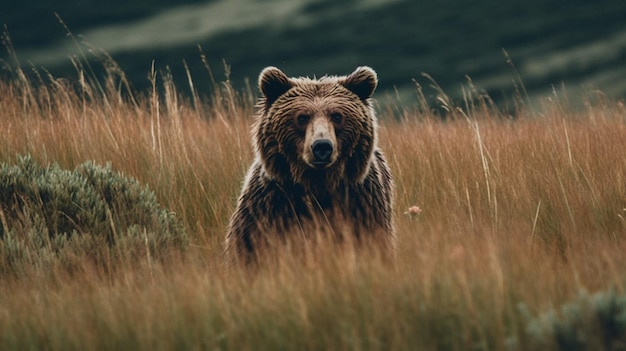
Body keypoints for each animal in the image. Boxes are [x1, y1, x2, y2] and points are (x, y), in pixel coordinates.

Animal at [222, 66, 392, 266]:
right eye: (302, 118)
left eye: (337, 116)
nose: (322, 146)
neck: (317, 184)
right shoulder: (270, 206)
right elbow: (248, 247)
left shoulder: (360, 205)